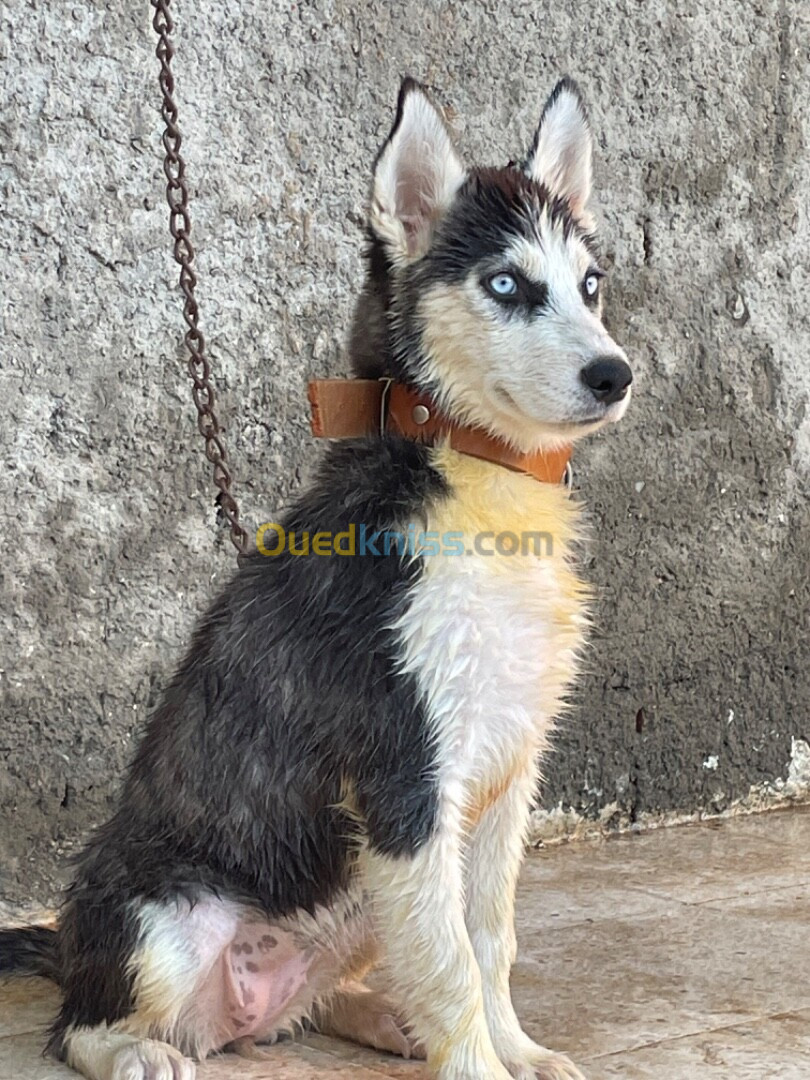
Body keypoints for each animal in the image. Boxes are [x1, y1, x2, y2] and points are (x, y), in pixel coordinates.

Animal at [0, 78, 635, 1080]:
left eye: (591, 284)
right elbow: (451, 961)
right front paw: (481, 1065)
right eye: (505, 285)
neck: (470, 481)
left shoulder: (506, 776)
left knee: (309, 1004)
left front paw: (519, 1051)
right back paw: (139, 1051)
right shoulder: (402, 780)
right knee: (78, 1027)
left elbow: (487, 941)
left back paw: (377, 1015)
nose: (615, 375)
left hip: (360, 891)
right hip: (169, 920)